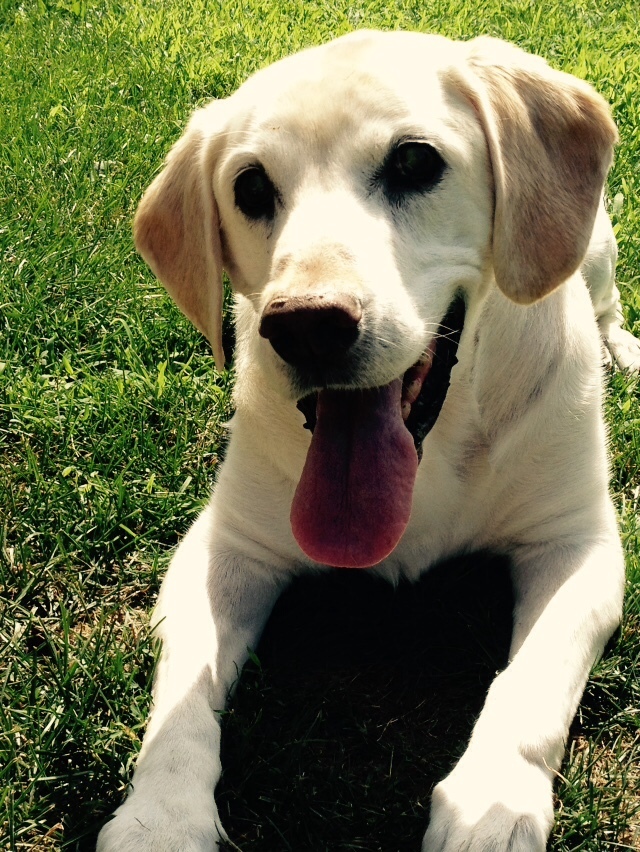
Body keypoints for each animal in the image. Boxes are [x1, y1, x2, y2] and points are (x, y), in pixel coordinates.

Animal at [96, 30, 640, 848]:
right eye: (250, 188)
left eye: (415, 163)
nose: (305, 325)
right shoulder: (227, 546)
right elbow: (184, 691)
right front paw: (159, 816)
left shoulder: (578, 544)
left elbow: (535, 676)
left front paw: (490, 803)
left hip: (596, 248)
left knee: (607, 303)